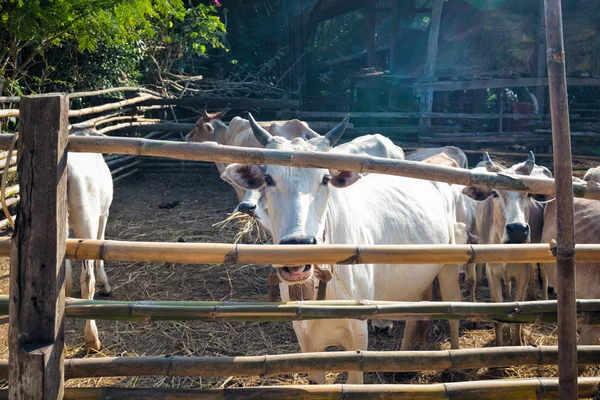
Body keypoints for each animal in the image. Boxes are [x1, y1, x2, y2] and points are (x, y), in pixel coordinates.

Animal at [223, 115, 462, 384]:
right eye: (268, 179)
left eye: (325, 179)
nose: (297, 250)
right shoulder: (306, 341)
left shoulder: (357, 337)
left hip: (449, 267)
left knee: (454, 304)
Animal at [464, 152, 552, 346]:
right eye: (494, 193)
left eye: (529, 194)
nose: (518, 229)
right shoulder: (492, 272)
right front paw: (499, 345)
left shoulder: (523, 273)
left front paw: (517, 343)